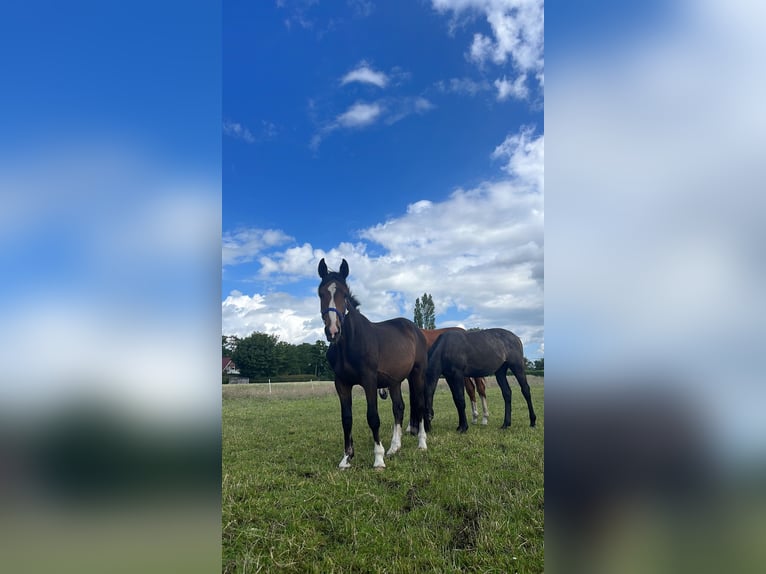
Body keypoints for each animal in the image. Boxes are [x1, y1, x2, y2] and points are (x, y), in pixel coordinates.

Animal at [316, 258, 428, 470]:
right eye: (320, 293)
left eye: (344, 294)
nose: (333, 330)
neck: (350, 343)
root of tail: (415, 329)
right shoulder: (341, 384)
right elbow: (346, 419)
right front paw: (346, 458)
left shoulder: (369, 381)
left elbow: (373, 417)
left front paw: (378, 459)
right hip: (394, 382)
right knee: (399, 408)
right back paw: (394, 447)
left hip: (417, 375)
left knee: (420, 405)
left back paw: (422, 443)